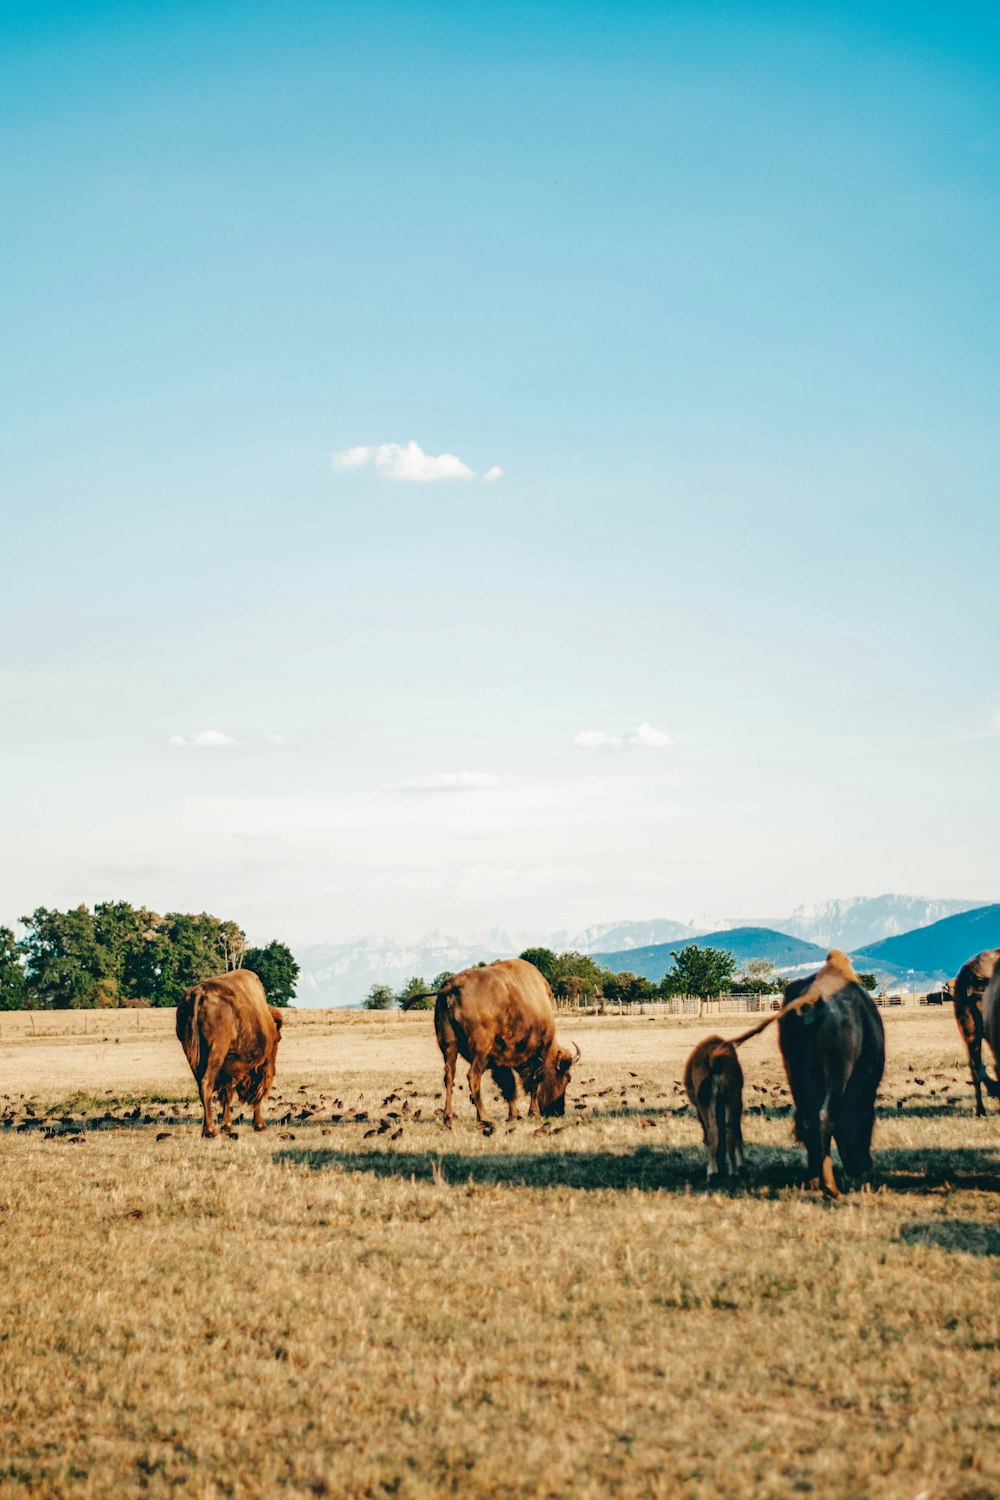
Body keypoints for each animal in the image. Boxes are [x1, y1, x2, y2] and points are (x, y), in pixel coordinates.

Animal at [176, 972, 283, 1134]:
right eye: (279, 1039)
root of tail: (199, 992)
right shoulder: (262, 1065)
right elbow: (257, 1093)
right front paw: (259, 1124)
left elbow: (226, 1094)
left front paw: (227, 1125)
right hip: (216, 1053)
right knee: (206, 1083)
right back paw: (211, 1131)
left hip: (192, 1055)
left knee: (202, 1087)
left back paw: (208, 1128)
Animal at [404, 960, 578, 1128]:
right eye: (567, 1078)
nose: (559, 1111)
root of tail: (451, 987)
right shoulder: (538, 1055)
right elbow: (532, 1084)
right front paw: (533, 1113)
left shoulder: (501, 1062)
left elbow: (508, 1086)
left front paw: (514, 1114)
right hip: (480, 1050)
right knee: (473, 1076)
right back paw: (485, 1118)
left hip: (449, 1046)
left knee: (449, 1076)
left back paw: (448, 1117)